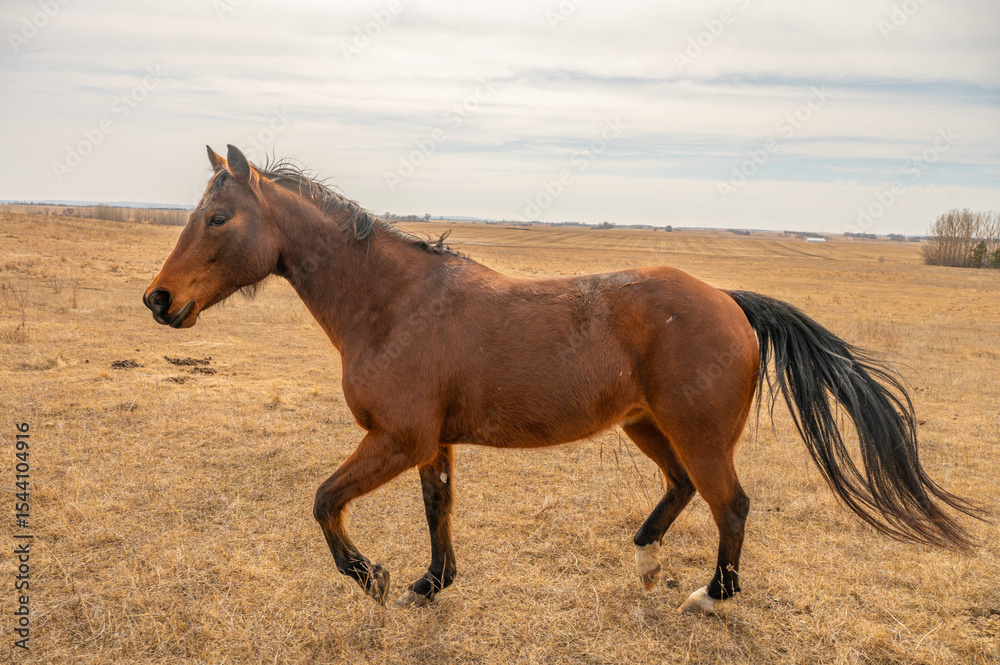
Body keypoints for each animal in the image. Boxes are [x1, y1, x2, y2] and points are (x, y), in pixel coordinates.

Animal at [144, 144, 983, 614]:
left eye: (218, 218)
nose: (159, 299)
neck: (396, 303)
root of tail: (729, 301)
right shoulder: (431, 444)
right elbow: (438, 511)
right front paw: (429, 583)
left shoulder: (397, 438)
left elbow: (323, 502)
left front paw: (372, 577)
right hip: (648, 426)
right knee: (683, 490)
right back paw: (644, 557)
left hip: (698, 435)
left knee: (731, 504)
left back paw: (710, 594)